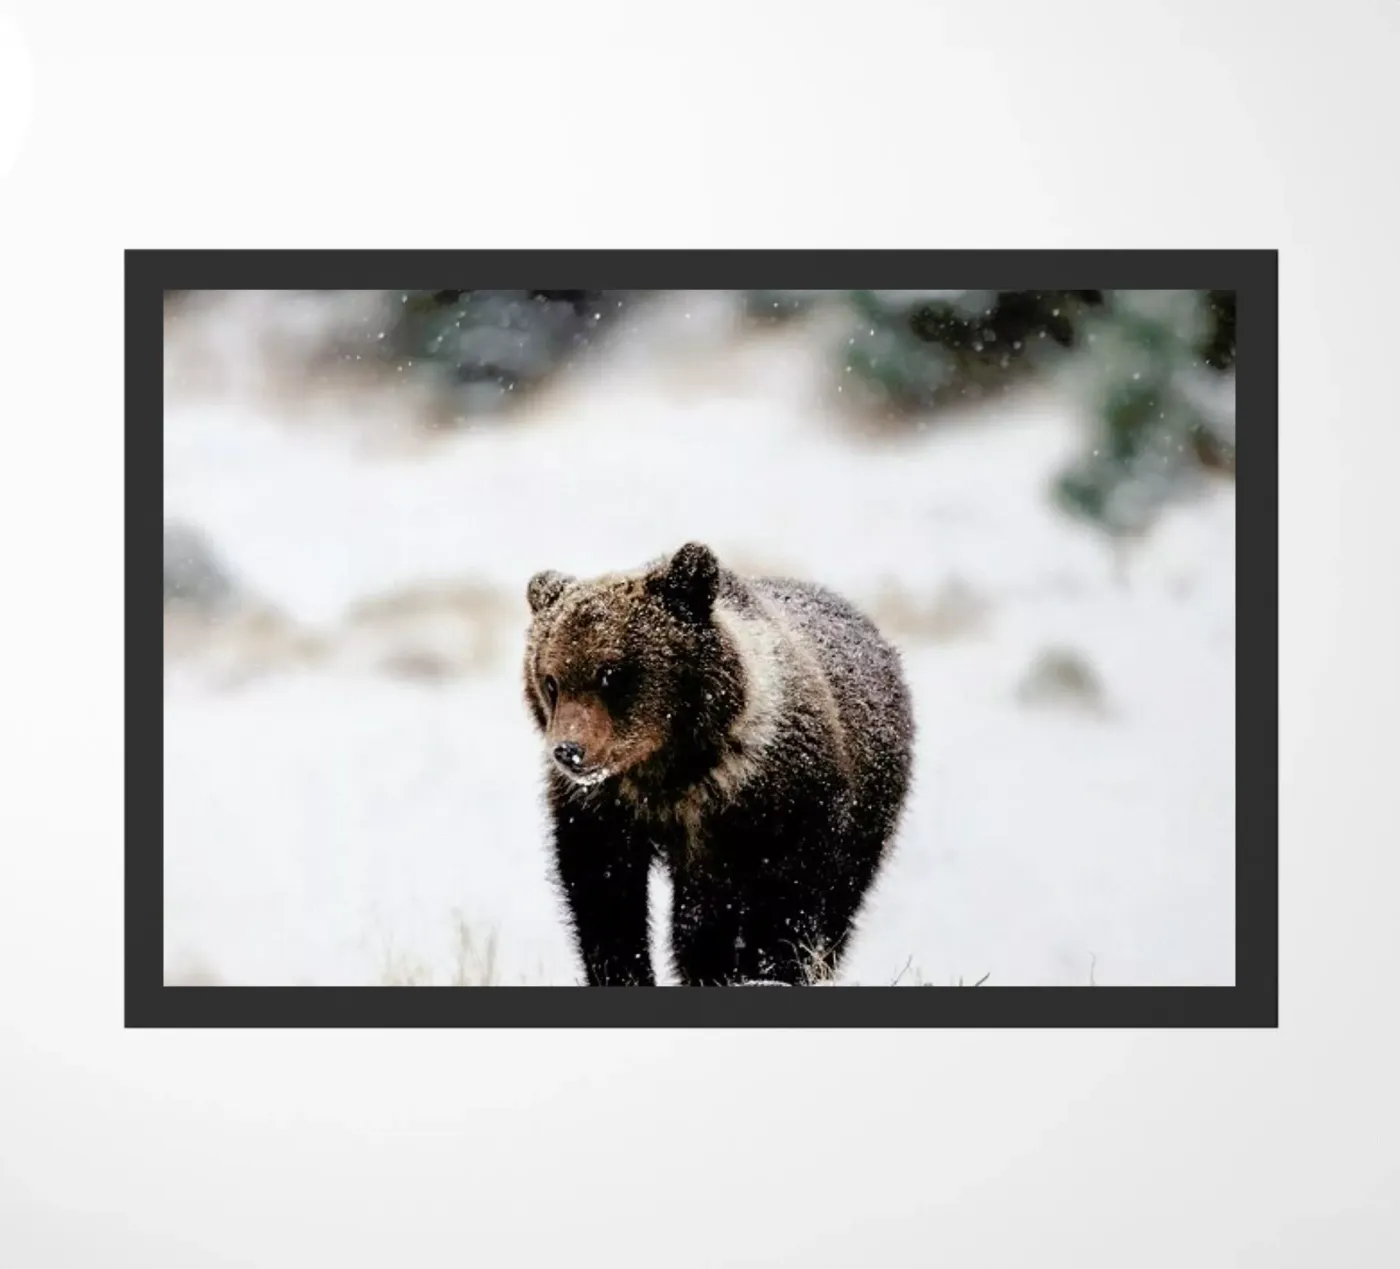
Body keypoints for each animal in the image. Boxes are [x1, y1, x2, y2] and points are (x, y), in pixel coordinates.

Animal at [522, 541, 915, 986]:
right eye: (551, 680)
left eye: (611, 674)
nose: (569, 750)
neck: (670, 772)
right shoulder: (605, 809)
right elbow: (605, 896)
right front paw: (624, 971)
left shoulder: (777, 800)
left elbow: (783, 899)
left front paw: (768, 968)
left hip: (870, 807)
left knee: (839, 899)